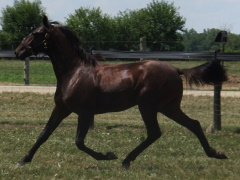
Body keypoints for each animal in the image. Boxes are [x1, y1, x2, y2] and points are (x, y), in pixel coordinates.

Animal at [15, 15, 229, 169]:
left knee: (155, 132)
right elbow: (44, 133)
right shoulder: (61, 108)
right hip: (169, 107)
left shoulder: (85, 112)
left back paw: (125, 160)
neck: (74, 72)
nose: (18, 51)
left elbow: (79, 142)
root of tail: (177, 70)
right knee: (193, 125)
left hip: (148, 106)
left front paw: (107, 156)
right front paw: (23, 160)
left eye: (36, 33)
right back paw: (216, 153)